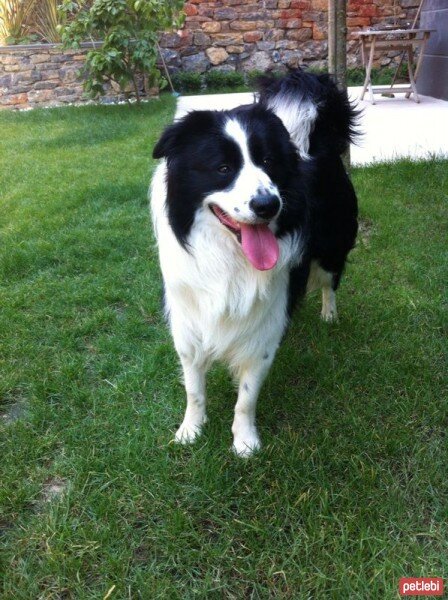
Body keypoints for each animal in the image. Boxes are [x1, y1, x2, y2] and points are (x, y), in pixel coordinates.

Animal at [150, 69, 356, 454]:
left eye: (269, 163)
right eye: (223, 168)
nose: (268, 205)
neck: (229, 258)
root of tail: (318, 143)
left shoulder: (261, 334)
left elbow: (245, 397)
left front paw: (244, 443)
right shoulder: (188, 323)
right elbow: (193, 388)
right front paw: (190, 431)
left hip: (333, 248)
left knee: (330, 282)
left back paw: (329, 315)